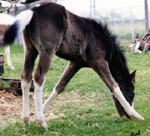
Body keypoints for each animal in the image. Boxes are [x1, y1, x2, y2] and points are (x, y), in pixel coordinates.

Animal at [2, 2, 144, 129]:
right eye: (131, 93)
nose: (126, 116)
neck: (102, 39)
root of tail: (33, 11)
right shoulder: (98, 61)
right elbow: (113, 85)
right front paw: (136, 115)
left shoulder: (75, 63)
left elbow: (60, 86)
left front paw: (39, 110)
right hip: (47, 51)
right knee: (38, 78)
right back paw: (42, 122)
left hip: (30, 50)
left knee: (25, 76)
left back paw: (26, 119)